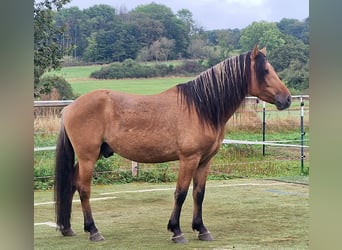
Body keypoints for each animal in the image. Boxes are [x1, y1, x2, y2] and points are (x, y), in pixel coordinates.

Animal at [54, 44, 290, 242]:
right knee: (84, 188)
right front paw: (176, 231)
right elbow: (181, 193)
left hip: (91, 156)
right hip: (88, 157)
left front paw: (201, 229)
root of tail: (70, 108)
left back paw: (68, 228)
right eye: (265, 71)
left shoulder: (204, 161)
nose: (286, 99)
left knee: (72, 183)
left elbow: (199, 194)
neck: (201, 108)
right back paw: (94, 231)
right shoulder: (188, 159)